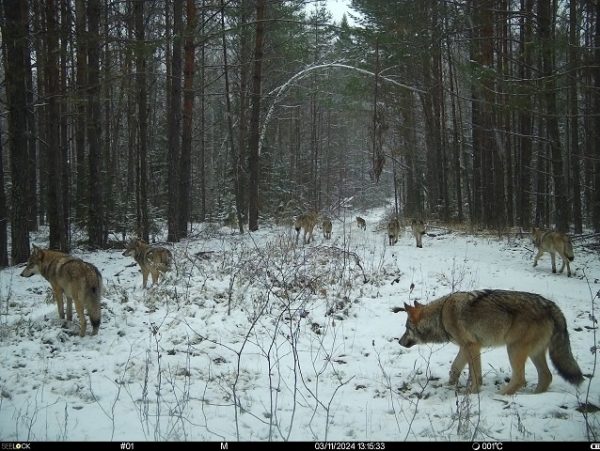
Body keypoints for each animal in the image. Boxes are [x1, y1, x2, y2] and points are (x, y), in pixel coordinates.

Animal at [400, 292, 584, 394]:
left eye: (406, 328)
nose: (400, 342)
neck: (441, 315)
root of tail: (551, 306)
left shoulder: (472, 347)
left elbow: (476, 375)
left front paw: (472, 392)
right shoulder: (465, 348)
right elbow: (455, 368)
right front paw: (450, 385)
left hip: (514, 349)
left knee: (520, 379)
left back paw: (500, 395)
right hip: (533, 353)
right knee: (546, 376)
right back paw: (534, 396)